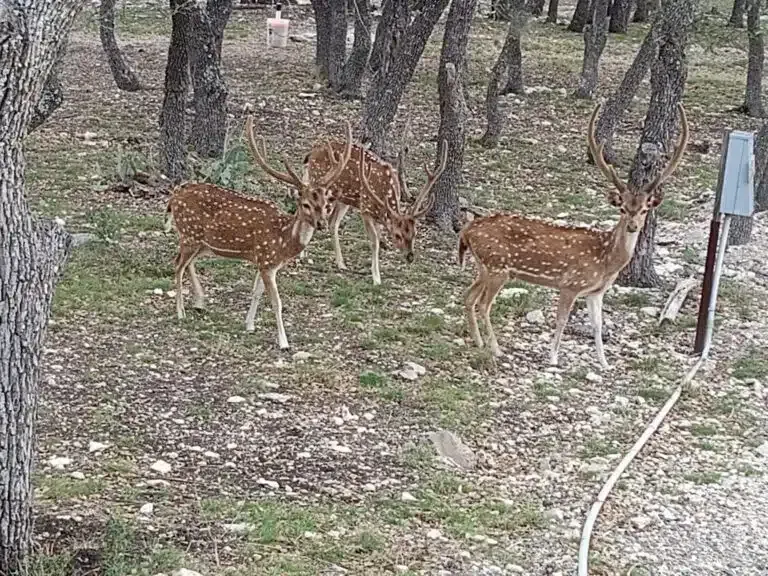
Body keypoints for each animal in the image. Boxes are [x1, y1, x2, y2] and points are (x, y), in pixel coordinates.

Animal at [164, 112, 353, 349]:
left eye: (326, 204)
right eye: (305, 204)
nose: (321, 223)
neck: (283, 241)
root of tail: (173, 197)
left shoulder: (263, 262)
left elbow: (256, 292)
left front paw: (249, 325)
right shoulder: (267, 261)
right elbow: (276, 302)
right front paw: (283, 342)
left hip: (199, 242)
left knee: (186, 262)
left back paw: (199, 301)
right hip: (189, 233)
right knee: (177, 264)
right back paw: (181, 312)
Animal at [302, 139, 448, 285]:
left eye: (415, 233)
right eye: (397, 235)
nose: (410, 257)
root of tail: (311, 153)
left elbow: (378, 237)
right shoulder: (365, 208)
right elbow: (374, 242)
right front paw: (377, 278)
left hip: (344, 198)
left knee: (333, 223)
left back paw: (341, 264)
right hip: (318, 182)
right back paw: (303, 254)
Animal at [458, 102, 688, 370]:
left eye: (644, 209)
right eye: (622, 208)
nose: (632, 225)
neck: (607, 260)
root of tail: (466, 230)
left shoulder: (595, 292)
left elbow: (598, 325)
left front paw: (604, 363)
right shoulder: (570, 283)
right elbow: (562, 319)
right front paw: (553, 358)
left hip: (485, 267)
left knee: (469, 297)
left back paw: (479, 342)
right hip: (498, 267)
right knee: (484, 304)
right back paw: (495, 349)